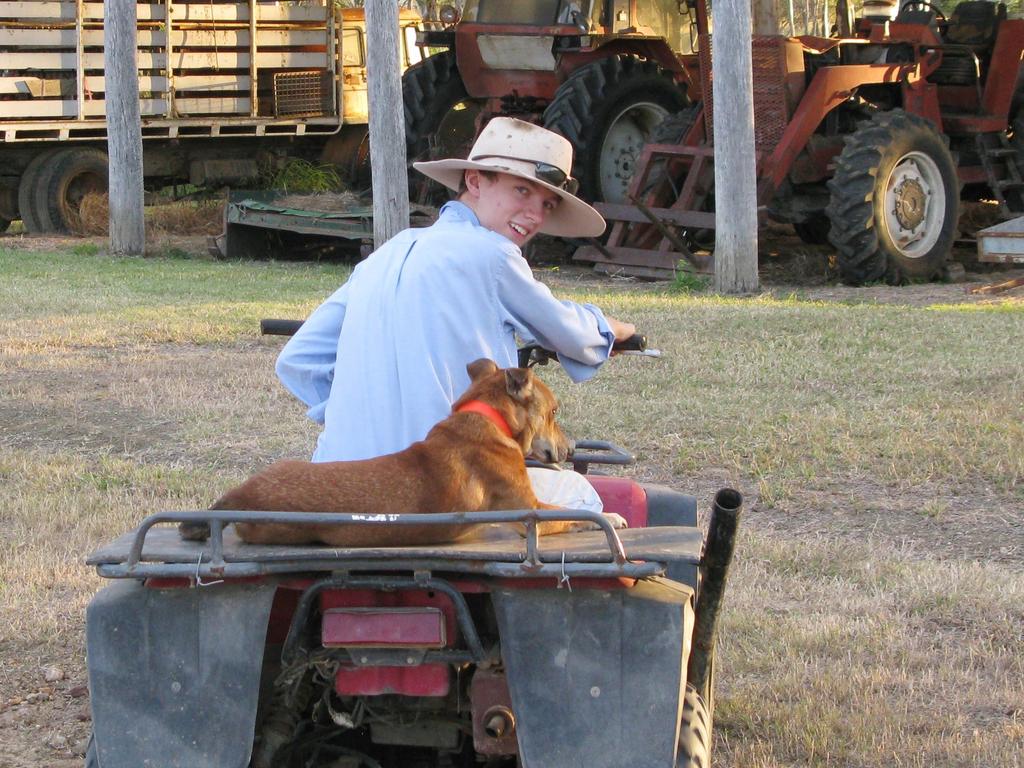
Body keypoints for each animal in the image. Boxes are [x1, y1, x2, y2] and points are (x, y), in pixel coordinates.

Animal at [177, 360, 614, 548]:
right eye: (554, 411)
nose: (570, 449)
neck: (488, 419)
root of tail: (240, 494)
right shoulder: (531, 512)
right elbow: (573, 513)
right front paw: (610, 516)